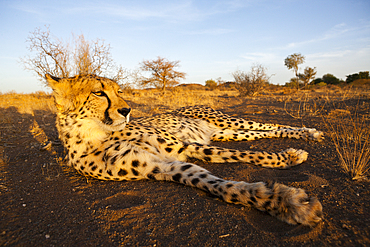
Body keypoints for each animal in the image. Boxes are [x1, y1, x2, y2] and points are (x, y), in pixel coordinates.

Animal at [47, 74, 324, 228]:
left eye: (119, 91)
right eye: (98, 92)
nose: (126, 111)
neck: (96, 134)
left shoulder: (182, 146)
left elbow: (247, 155)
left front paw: (287, 160)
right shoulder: (162, 166)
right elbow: (217, 184)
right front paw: (280, 202)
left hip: (228, 121)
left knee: (270, 126)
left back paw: (308, 133)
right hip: (228, 132)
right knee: (261, 134)